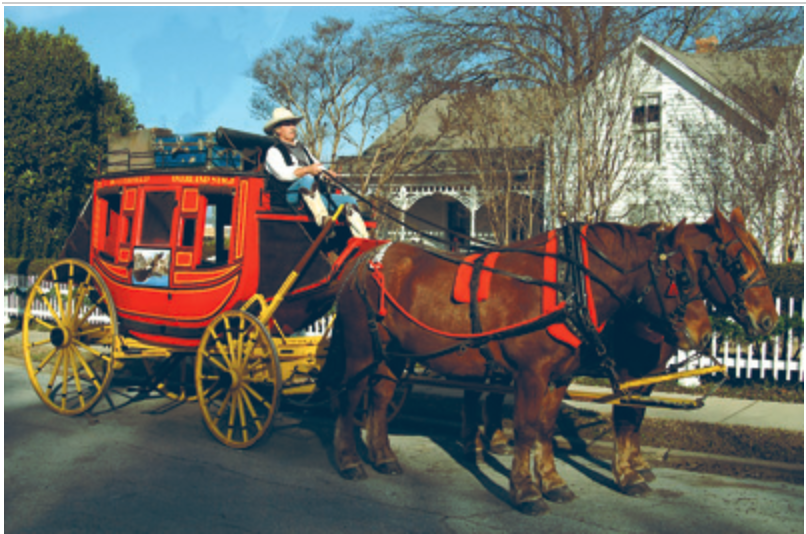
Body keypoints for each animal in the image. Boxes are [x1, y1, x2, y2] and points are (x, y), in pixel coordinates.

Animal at [322, 220, 712, 516]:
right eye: (683, 277)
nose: (705, 334)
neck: (568, 285)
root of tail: (366, 259)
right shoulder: (531, 375)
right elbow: (525, 429)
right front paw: (526, 491)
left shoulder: (559, 377)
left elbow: (546, 428)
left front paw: (553, 482)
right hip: (361, 350)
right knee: (348, 398)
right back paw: (349, 461)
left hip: (392, 355)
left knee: (379, 398)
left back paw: (383, 456)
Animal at [468, 208, 784, 498]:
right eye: (738, 265)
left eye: (761, 259)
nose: (768, 320)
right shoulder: (626, 372)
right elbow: (624, 418)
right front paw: (626, 474)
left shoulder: (649, 374)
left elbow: (637, 417)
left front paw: (638, 464)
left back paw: (492, 439)